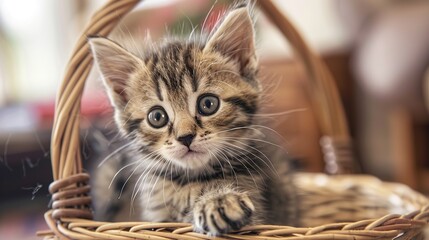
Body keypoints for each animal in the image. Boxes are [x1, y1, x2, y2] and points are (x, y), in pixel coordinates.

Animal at [87, 4, 294, 236]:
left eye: (208, 104)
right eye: (157, 117)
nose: (185, 137)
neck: (188, 181)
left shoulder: (260, 211)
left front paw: (219, 200)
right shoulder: (156, 216)